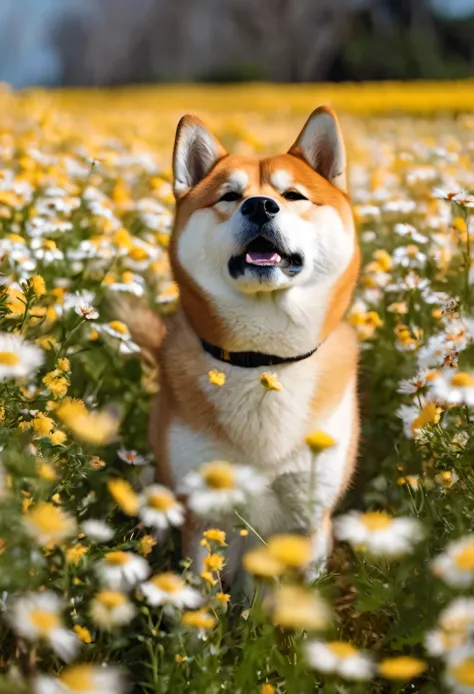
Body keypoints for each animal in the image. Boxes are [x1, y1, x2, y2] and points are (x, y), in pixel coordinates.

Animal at [126, 107, 360, 580]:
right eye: (230, 197)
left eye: (293, 195)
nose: (260, 205)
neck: (263, 360)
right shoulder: (203, 517)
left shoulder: (309, 519)